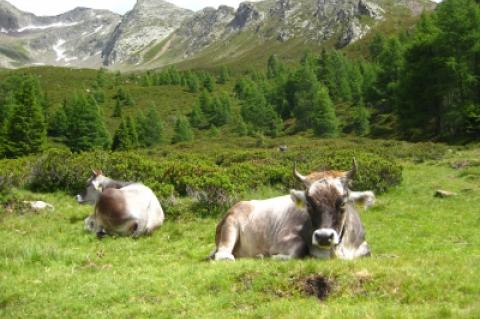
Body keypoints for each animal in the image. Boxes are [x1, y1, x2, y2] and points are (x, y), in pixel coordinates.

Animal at [210, 161, 372, 262]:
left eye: (343, 203)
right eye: (309, 204)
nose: (324, 237)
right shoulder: (281, 241)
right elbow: (300, 248)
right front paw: (273, 257)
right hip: (230, 227)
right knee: (223, 255)